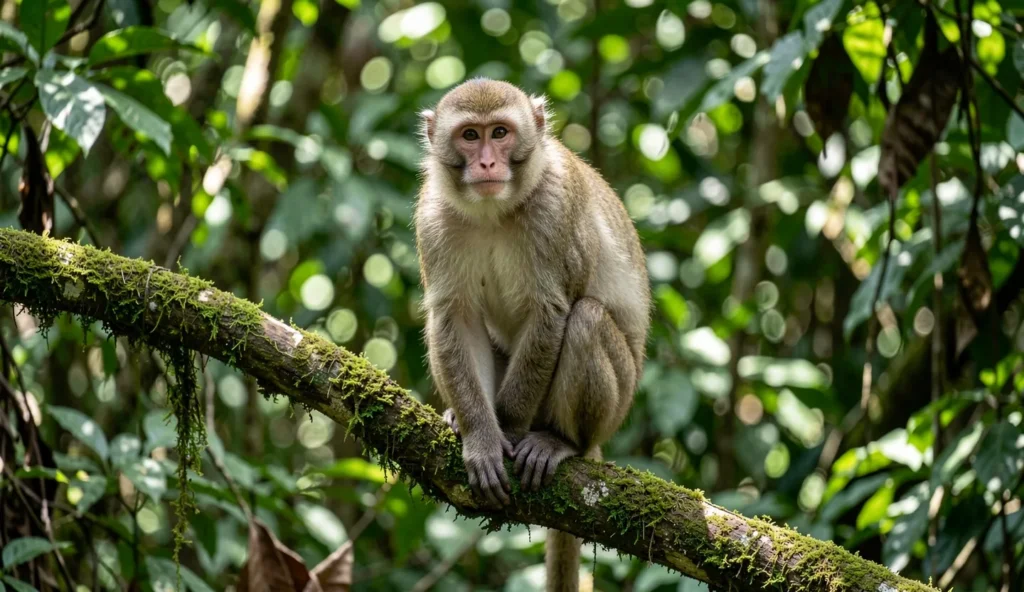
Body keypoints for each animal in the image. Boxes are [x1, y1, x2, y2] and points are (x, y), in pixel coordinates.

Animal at [414, 78, 650, 592]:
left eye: (500, 132)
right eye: (470, 135)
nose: (487, 162)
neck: (493, 212)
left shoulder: (554, 209)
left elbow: (552, 313)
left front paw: (509, 427)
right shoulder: (433, 216)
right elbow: (454, 318)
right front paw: (482, 437)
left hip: (616, 405)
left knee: (586, 319)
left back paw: (560, 442)